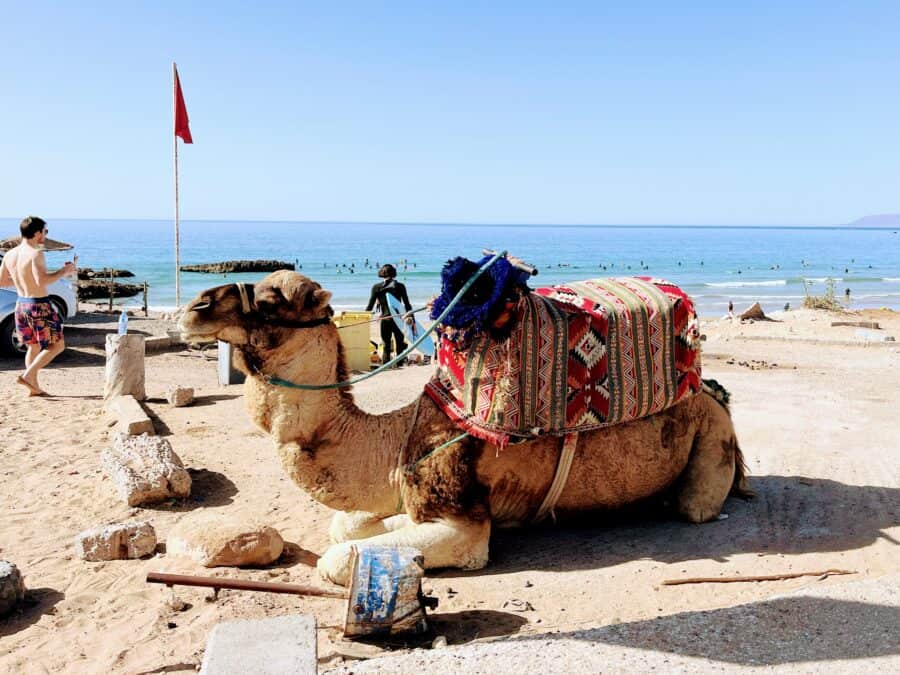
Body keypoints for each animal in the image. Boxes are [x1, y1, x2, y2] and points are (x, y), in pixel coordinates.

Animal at [180, 271, 749, 586]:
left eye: (271, 301)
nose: (194, 308)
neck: (392, 440)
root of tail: (710, 390)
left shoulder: (464, 522)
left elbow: (339, 557)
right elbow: (348, 527)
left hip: (711, 436)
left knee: (695, 506)